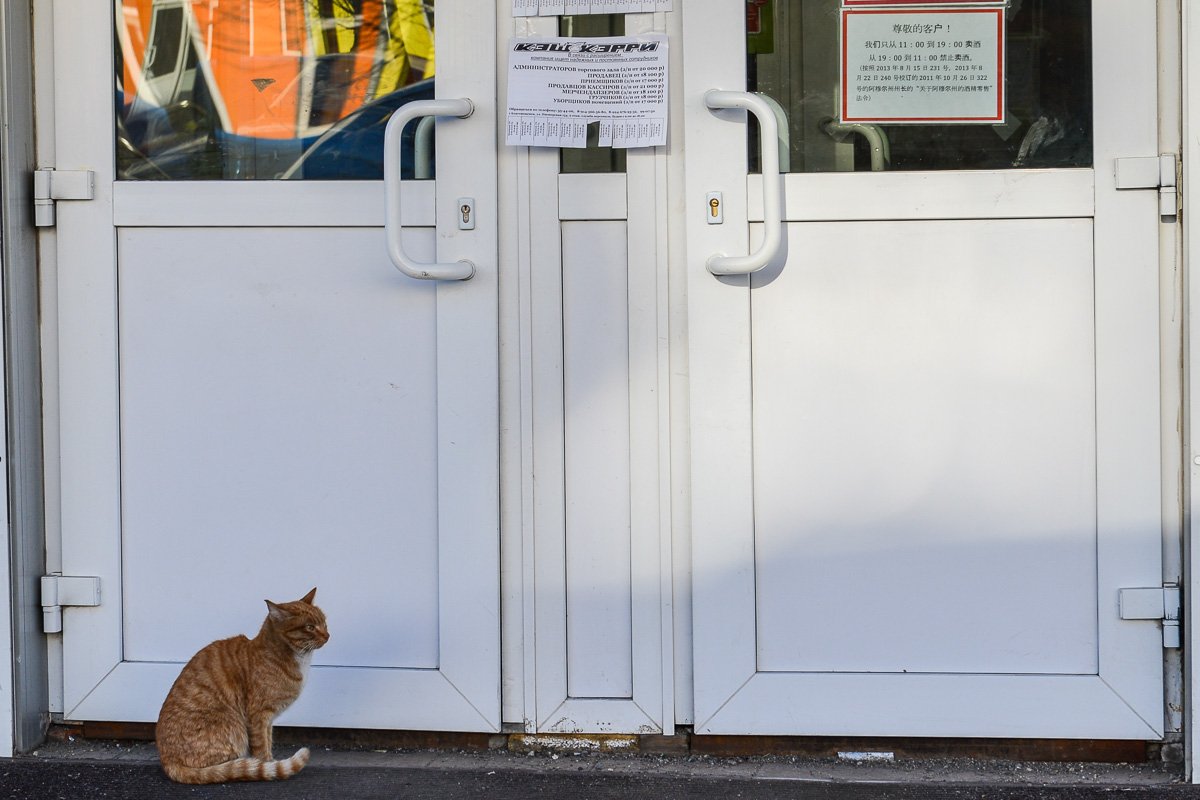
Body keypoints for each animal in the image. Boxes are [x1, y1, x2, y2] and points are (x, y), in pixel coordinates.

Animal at [157, 585, 333, 786]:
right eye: (310, 627)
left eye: (324, 623)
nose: (328, 635)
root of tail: (167, 761)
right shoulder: (258, 716)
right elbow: (261, 748)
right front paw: (267, 766)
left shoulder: (268, 721)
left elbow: (268, 742)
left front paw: (270, 762)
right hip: (235, 728)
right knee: (224, 768)